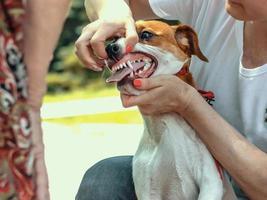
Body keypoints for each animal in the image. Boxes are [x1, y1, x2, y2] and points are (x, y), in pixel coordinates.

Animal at [105, 20, 236, 200]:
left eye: (146, 34)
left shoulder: (210, 181)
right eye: (116, 37)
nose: (109, 47)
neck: (164, 127)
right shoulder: (146, 188)